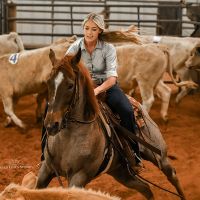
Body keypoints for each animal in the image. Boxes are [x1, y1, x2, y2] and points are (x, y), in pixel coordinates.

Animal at [36, 48, 186, 200]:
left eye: (70, 85)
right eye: (48, 82)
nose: (51, 125)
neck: (68, 138)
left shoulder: (79, 177)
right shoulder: (46, 169)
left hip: (159, 154)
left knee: (172, 175)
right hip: (121, 172)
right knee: (145, 188)